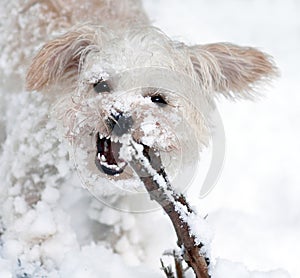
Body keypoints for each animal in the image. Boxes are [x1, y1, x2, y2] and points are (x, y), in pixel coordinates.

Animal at [0, 0, 276, 274]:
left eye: (157, 98)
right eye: (101, 84)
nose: (119, 117)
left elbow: (121, 221)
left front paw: (124, 253)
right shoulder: (32, 159)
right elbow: (30, 209)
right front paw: (39, 252)